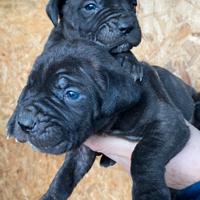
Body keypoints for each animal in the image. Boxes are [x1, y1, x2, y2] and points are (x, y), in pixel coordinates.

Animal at [7, 41, 200, 200]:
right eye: (29, 87)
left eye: (71, 94)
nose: (24, 123)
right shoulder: (82, 150)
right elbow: (64, 175)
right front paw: (51, 196)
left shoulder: (167, 124)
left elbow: (144, 154)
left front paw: (149, 193)